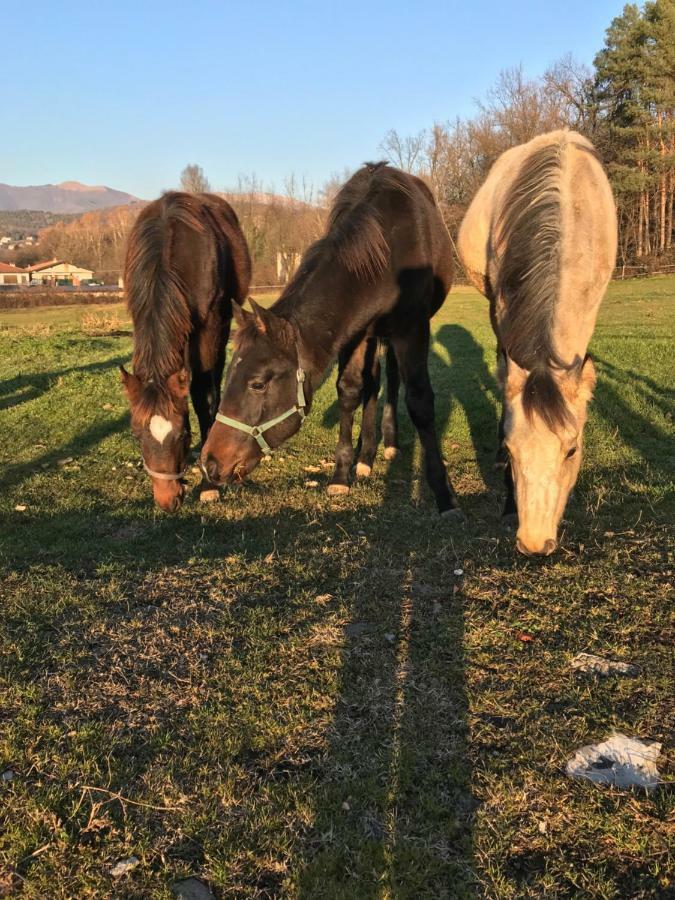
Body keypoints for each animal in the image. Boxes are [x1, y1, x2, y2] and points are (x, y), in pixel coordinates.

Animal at [120, 190, 250, 512]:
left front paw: (208, 485)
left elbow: (204, 397)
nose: (167, 500)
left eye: (182, 433)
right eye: (136, 434)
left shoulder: (210, 326)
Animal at [202, 160, 464, 512]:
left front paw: (443, 492)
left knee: (392, 378)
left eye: (257, 384)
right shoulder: (354, 333)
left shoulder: (412, 329)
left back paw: (389, 442)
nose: (210, 463)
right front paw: (342, 473)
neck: (387, 250)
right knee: (372, 382)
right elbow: (350, 391)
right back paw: (366, 455)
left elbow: (420, 400)